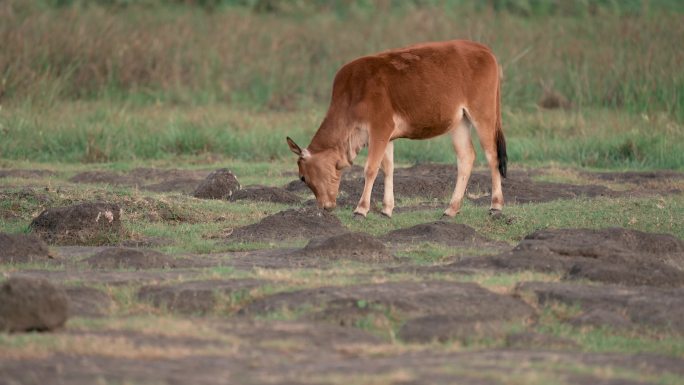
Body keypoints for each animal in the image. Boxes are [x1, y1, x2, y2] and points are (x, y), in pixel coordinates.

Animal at [286, 41, 504, 219]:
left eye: (303, 177)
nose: (325, 206)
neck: (352, 94)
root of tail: (485, 50)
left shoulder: (380, 128)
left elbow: (370, 169)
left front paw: (361, 209)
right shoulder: (386, 136)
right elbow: (388, 168)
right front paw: (386, 209)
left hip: (483, 114)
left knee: (492, 156)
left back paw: (495, 206)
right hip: (459, 122)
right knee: (466, 157)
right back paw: (451, 209)